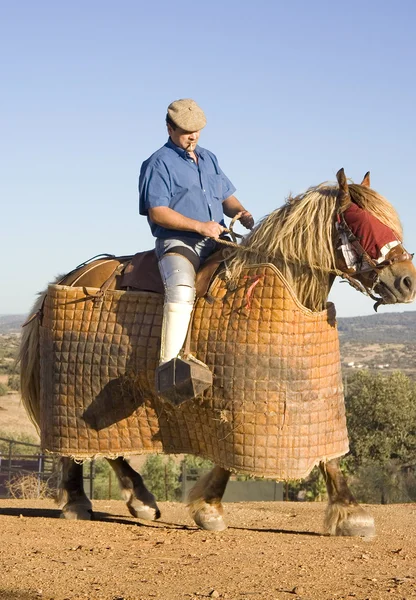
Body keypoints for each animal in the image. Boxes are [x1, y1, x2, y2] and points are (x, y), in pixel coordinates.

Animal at [19, 168, 416, 536]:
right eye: (363, 223)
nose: (407, 281)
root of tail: (71, 276)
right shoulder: (241, 398)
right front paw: (208, 508)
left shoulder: (305, 400)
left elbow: (326, 455)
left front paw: (351, 512)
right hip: (75, 389)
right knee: (76, 442)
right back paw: (81, 500)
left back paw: (138, 498)